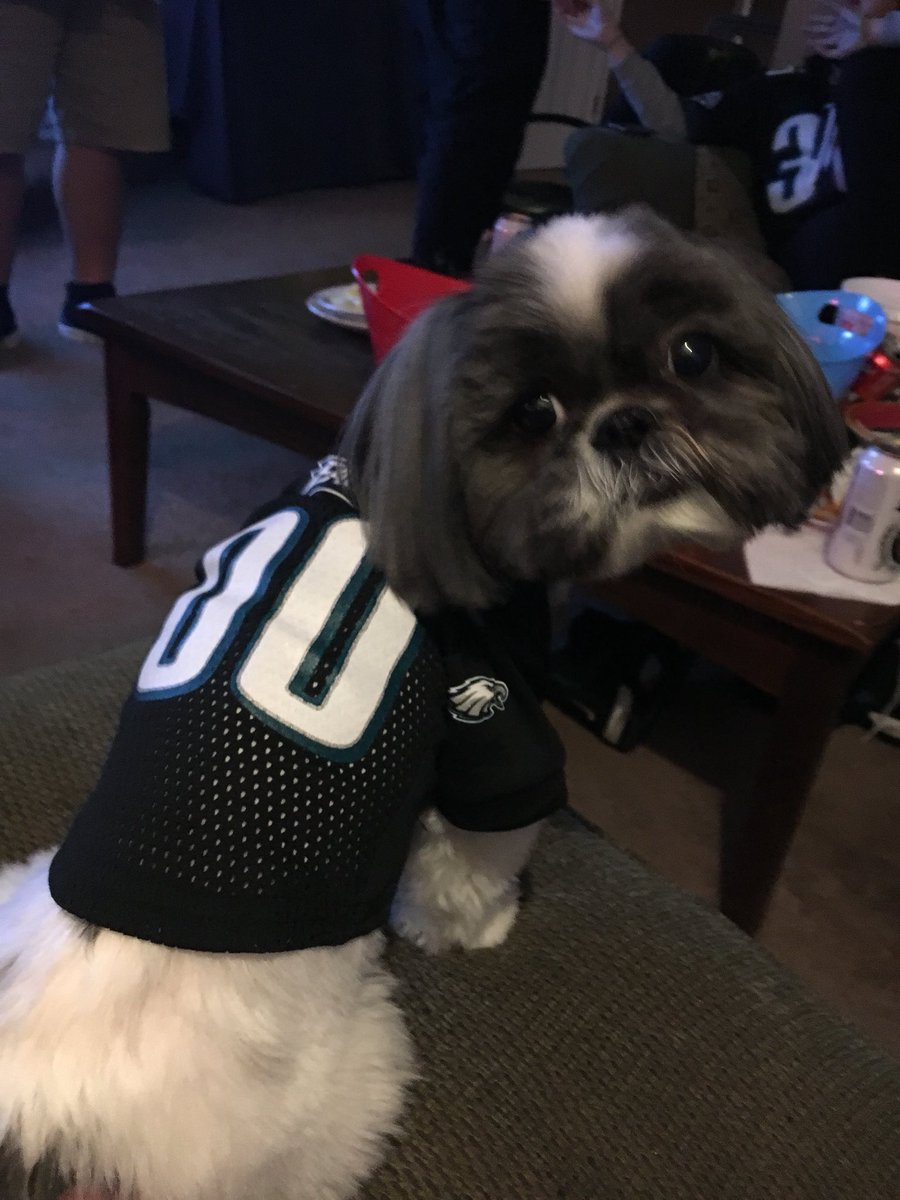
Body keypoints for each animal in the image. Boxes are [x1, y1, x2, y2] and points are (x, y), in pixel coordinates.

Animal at [0, 211, 844, 1195]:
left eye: (694, 353)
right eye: (534, 414)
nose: (627, 422)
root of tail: (52, 1127)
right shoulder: (490, 723)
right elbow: (471, 854)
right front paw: (476, 924)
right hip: (347, 1087)